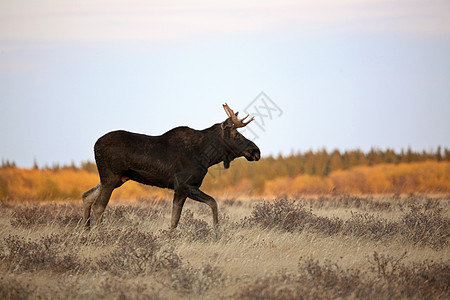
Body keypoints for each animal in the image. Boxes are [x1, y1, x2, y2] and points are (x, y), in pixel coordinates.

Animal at [82, 104, 262, 229]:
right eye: (236, 134)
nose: (256, 151)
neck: (208, 156)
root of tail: (94, 145)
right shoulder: (183, 185)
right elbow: (213, 203)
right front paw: (216, 232)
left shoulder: (180, 189)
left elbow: (175, 219)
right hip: (111, 177)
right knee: (99, 206)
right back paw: (100, 234)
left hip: (117, 179)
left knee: (87, 196)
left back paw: (86, 231)